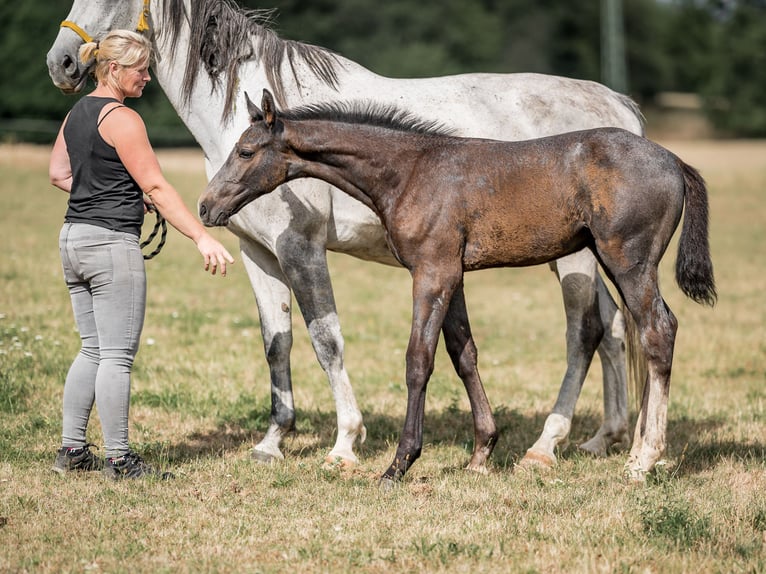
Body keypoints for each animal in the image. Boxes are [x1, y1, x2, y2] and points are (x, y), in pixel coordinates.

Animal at [45, 0, 640, 470]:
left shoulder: (301, 249)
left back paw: (546, 444)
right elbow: (277, 343)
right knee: (614, 328)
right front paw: (273, 440)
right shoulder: (258, 253)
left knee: (584, 333)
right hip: (582, 253)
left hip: (574, 263)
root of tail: (617, 107)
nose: (62, 62)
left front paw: (345, 444)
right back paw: (604, 438)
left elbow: (325, 340)